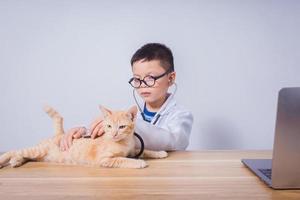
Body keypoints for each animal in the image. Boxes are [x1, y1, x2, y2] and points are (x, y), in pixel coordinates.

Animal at [0, 105, 169, 168]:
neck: (125, 142)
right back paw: (7, 160)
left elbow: (146, 150)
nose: (114, 134)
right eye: (108, 126)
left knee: (24, 155)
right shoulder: (105, 159)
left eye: (121, 127)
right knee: (16, 151)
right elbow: (122, 159)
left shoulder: (134, 150)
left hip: (39, 155)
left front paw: (159, 153)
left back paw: (16, 161)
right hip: (39, 150)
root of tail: (60, 135)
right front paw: (138, 163)